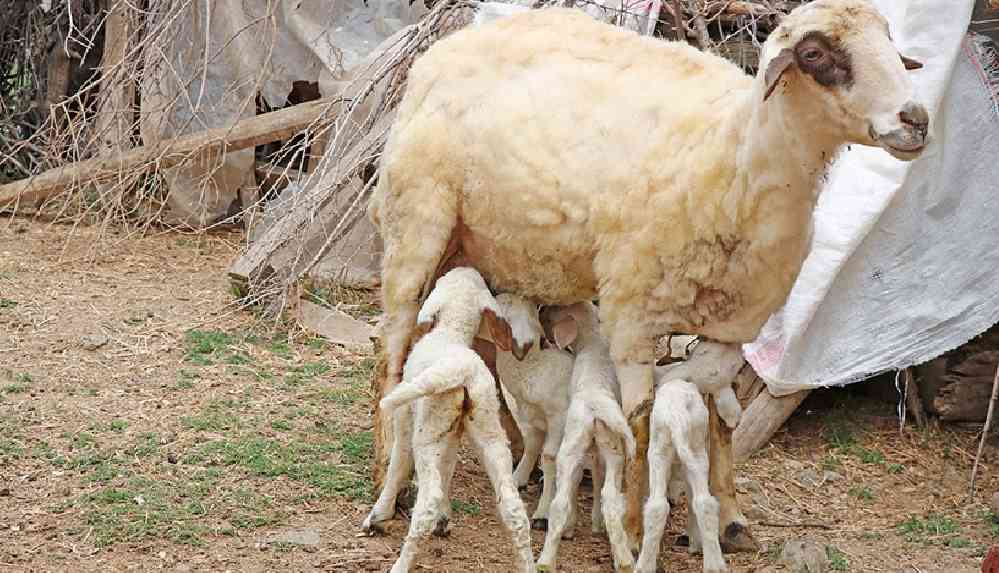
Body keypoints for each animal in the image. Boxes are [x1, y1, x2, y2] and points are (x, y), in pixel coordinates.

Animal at [364, 268, 540, 572]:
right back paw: (527, 564)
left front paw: (378, 515)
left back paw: (401, 563)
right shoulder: (454, 432)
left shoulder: (406, 420)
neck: (451, 332)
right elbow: (448, 467)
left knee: (427, 498)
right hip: (487, 428)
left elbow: (397, 466)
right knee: (513, 505)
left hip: (428, 428)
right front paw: (444, 520)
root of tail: (461, 371)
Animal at [540, 302, 640, 568]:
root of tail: (597, 407)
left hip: (576, 446)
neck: (593, 340)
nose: (540, 309)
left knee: (561, 501)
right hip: (611, 448)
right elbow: (596, 476)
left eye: (552, 314)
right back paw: (623, 560)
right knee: (609, 498)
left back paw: (546, 560)